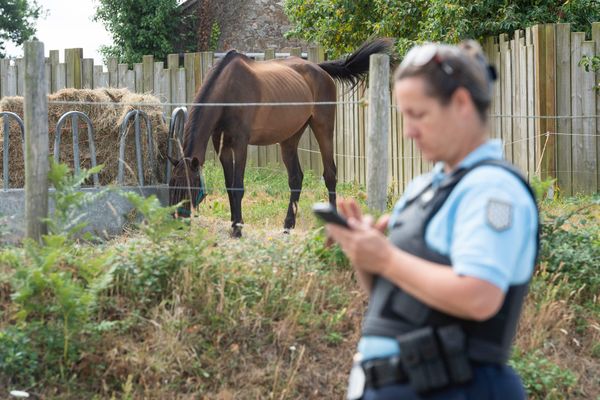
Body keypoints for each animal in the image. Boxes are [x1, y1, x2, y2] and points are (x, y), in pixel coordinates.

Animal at [169, 38, 394, 236]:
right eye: (171, 185)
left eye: (188, 188)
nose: (176, 223)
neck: (227, 91)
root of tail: (319, 69)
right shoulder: (221, 144)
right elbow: (229, 185)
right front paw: (234, 223)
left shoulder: (240, 143)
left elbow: (238, 185)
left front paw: (238, 229)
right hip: (290, 138)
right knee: (296, 178)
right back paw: (288, 225)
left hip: (323, 128)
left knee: (330, 174)